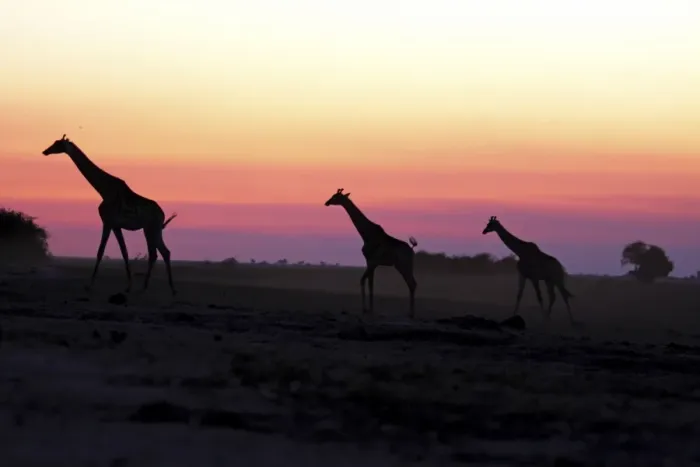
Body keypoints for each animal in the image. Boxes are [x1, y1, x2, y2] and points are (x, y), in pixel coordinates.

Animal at [42, 135, 177, 295]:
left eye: (58, 144)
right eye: (54, 142)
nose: (45, 151)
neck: (104, 190)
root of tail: (162, 214)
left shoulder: (107, 222)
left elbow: (101, 251)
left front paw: (90, 285)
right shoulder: (116, 225)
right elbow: (124, 252)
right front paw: (128, 286)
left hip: (153, 228)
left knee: (162, 252)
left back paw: (169, 289)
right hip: (149, 229)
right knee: (157, 253)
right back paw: (150, 288)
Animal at [324, 188, 418, 317]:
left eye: (335, 196)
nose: (327, 202)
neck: (367, 235)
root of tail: (411, 250)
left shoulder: (373, 262)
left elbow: (363, 281)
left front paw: (365, 309)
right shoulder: (370, 262)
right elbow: (370, 285)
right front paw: (370, 309)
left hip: (404, 265)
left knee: (412, 284)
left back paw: (411, 313)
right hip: (401, 266)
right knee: (412, 284)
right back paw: (410, 312)